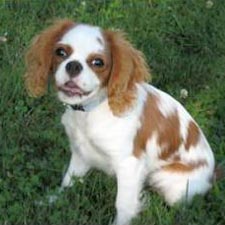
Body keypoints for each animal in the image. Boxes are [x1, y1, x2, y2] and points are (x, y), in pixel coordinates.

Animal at [24, 19, 214, 225]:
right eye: (60, 52)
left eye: (98, 62)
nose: (73, 65)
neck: (92, 110)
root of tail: (214, 174)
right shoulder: (81, 153)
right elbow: (68, 179)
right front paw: (52, 200)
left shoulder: (129, 164)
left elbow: (123, 204)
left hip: (170, 182)